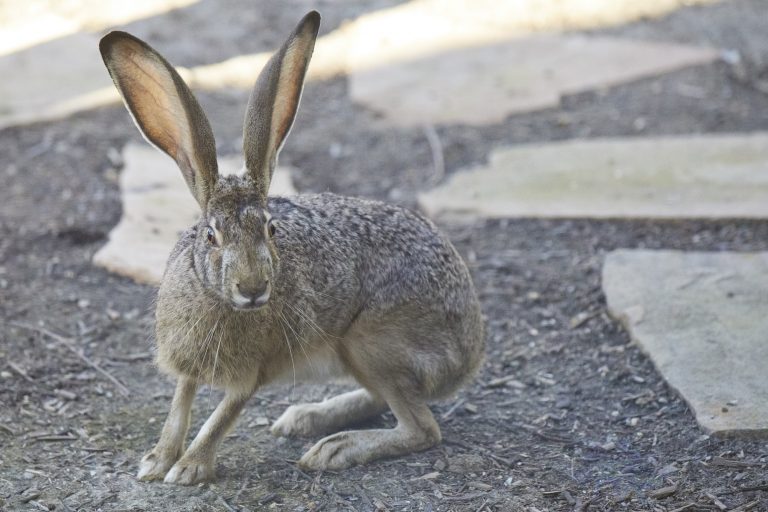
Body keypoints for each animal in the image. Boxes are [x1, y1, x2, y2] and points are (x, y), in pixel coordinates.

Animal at [99, 10, 484, 485]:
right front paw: (157, 461)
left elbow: (222, 417)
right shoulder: (188, 364)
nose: (252, 288)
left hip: (371, 342)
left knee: (421, 428)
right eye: (210, 236)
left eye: (270, 229)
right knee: (388, 402)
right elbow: (179, 405)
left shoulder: (253, 373)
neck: (219, 298)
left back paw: (334, 448)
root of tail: (470, 351)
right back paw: (305, 417)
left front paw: (189, 469)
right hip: (360, 354)